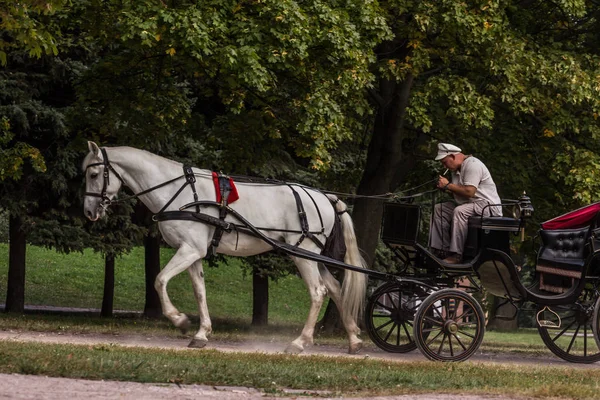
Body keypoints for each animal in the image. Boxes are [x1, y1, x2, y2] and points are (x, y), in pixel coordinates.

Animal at [82, 141, 368, 354]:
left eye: (94, 174)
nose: (89, 211)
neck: (179, 191)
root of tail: (325, 197)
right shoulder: (194, 253)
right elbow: (200, 292)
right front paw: (201, 333)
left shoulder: (189, 250)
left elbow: (160, 280)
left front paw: (179, 319)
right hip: (311, 256)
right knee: (335, 288)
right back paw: (353, 338)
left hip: (303, 255)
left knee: (318, 292)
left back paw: (300, 341)